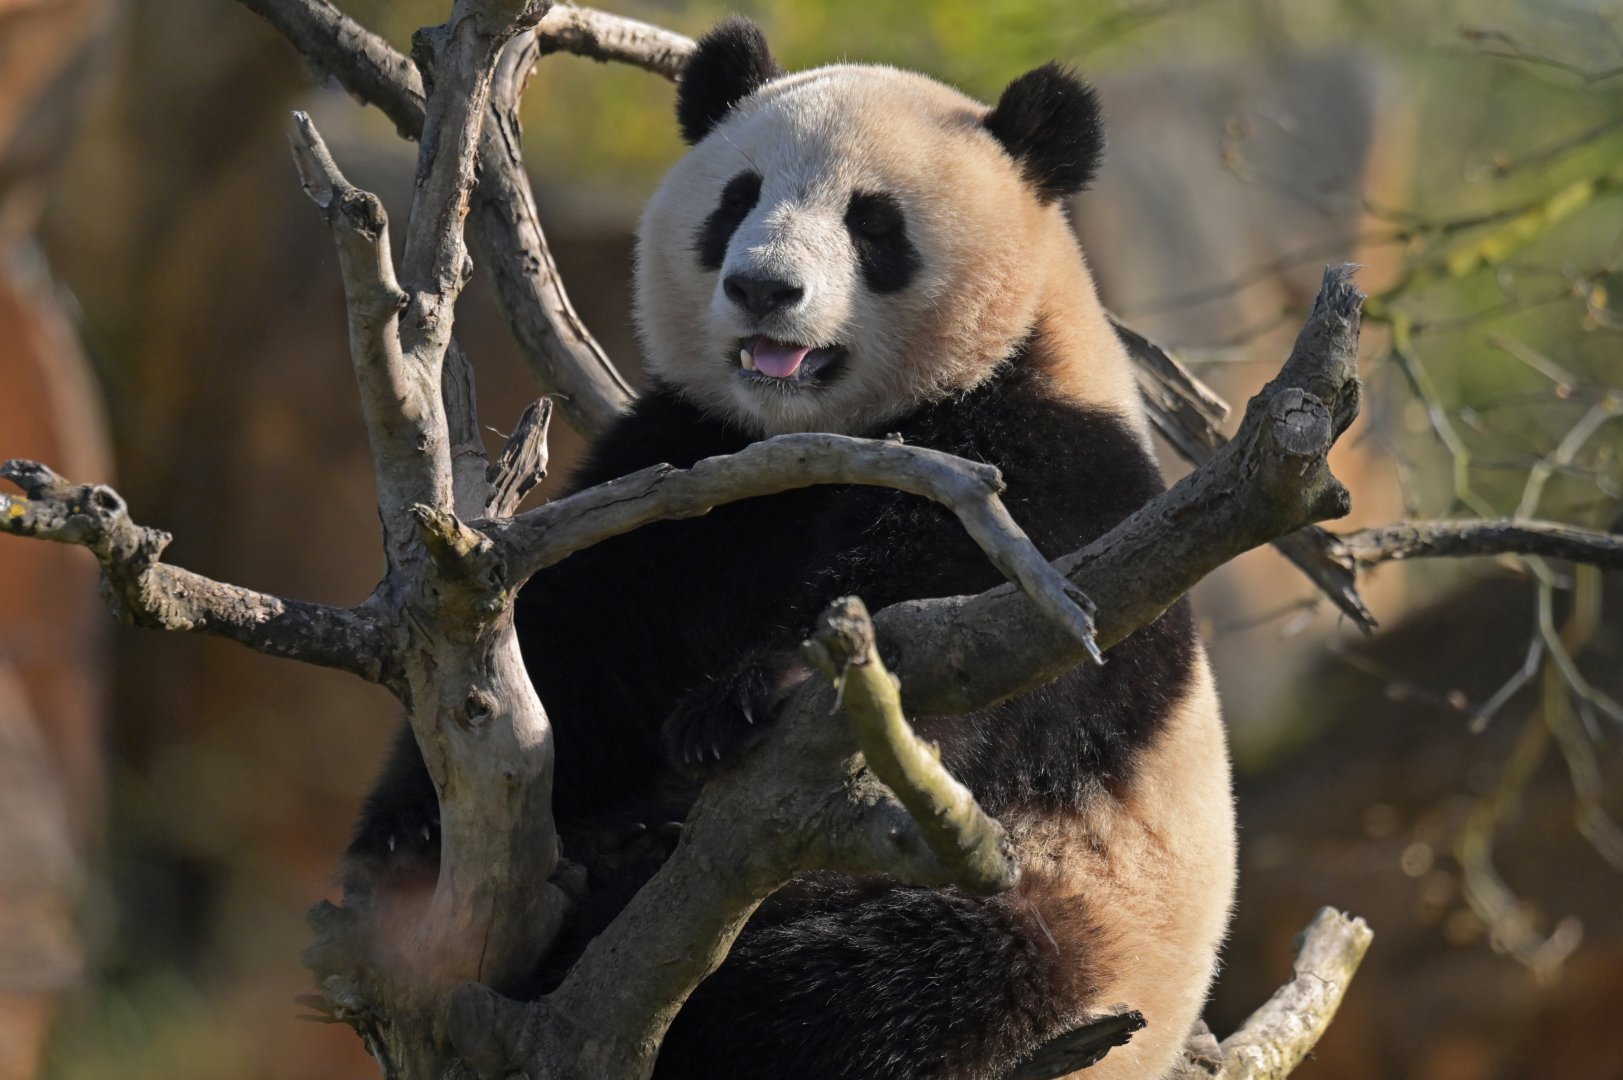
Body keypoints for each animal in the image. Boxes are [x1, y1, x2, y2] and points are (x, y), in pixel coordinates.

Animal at [347, 16, 1236, 1080]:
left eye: (874, 224)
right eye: (737, 199)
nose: (762, 287)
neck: (825, 431)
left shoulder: (1057, 472)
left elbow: (979, 638)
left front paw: (742, 700)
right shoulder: (697, 458)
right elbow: (584, 630)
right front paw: (410, 830)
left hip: (1055, 930)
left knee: (856, 989)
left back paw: (630, 881)